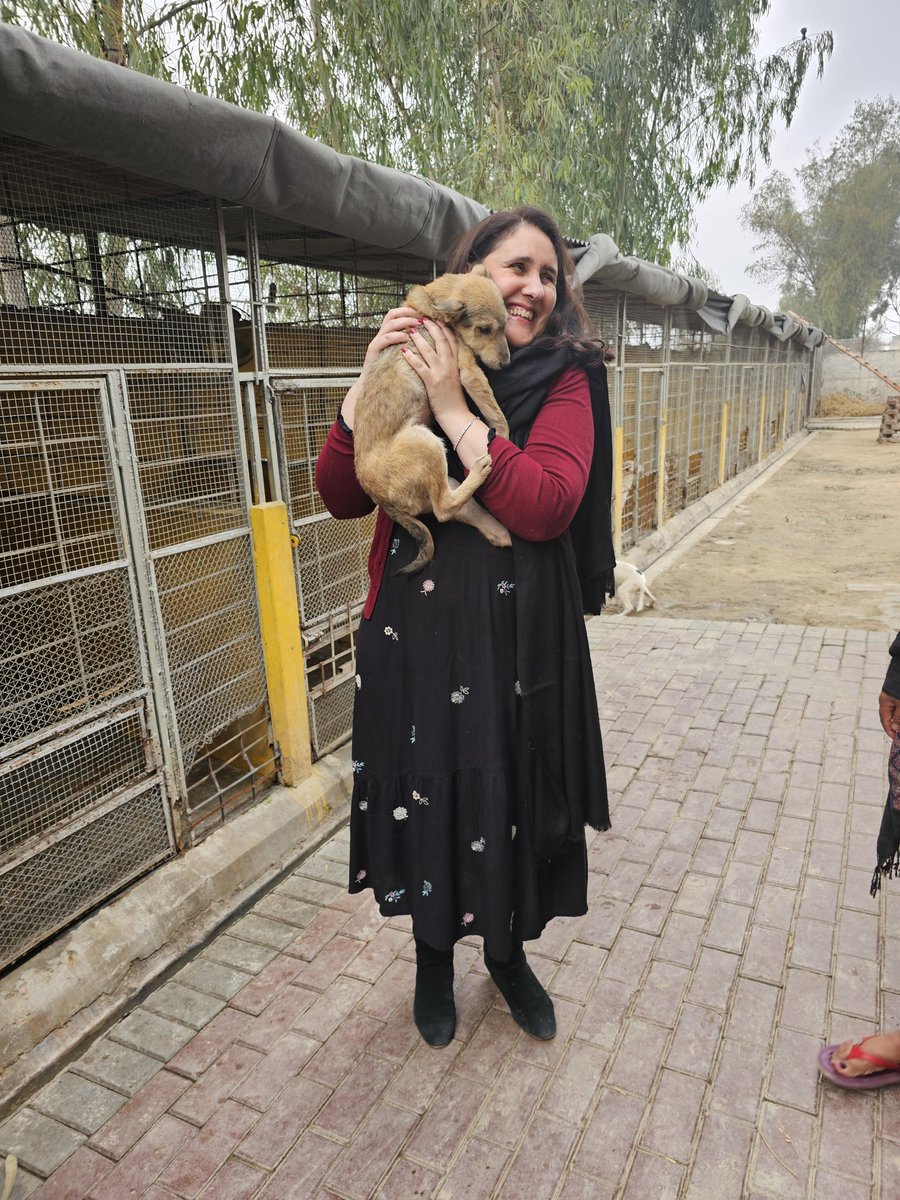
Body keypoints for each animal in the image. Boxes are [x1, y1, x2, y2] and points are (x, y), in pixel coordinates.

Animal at [357, 266, 518, 571]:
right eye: (484, 329)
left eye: (506, 325)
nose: (506, 365)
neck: (432, 305)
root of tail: (379, 498)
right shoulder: (469, 371)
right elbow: (495, 411)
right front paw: (503, 437)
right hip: (425, 443)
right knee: (444, 509)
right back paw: (480, 471)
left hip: (443, 475)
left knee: (454, 508)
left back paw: (498, 531)